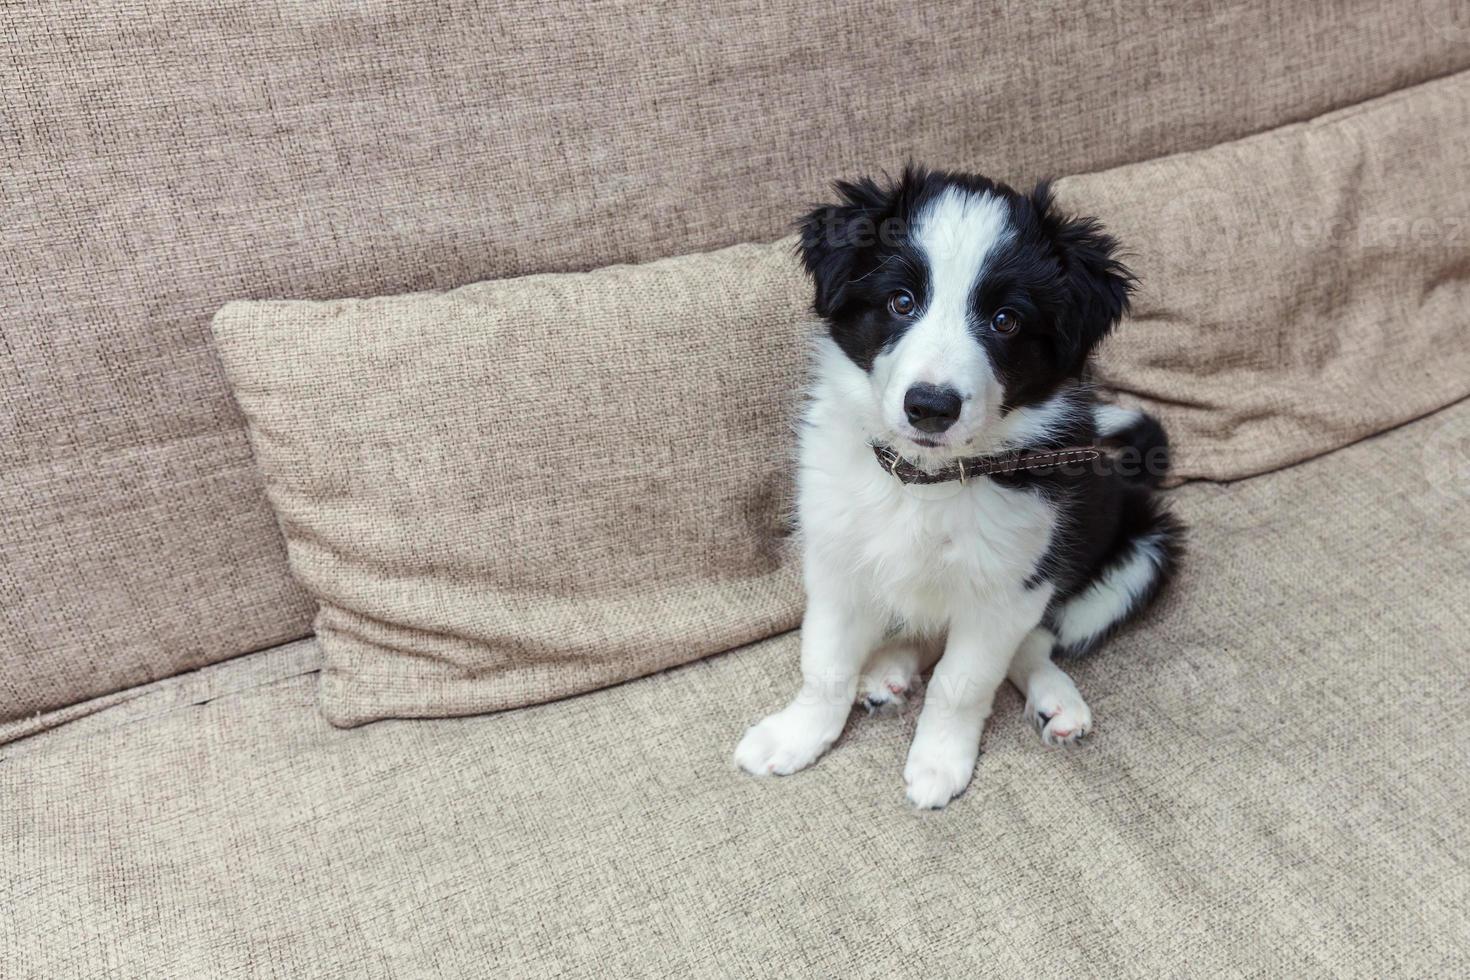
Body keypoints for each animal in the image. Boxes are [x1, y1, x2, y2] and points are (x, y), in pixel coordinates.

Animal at [735, 168, 1181, 811]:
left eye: (1006, 321)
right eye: (901, 301)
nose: (930, 407)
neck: (927, 479)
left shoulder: (1011, 585)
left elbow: (962, 681)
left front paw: (939, 762)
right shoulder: (838, 559)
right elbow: (824, 663)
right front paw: (797, 734)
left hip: (1141, 554)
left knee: (1035, 643)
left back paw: (1056, 700)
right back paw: (889, 670)